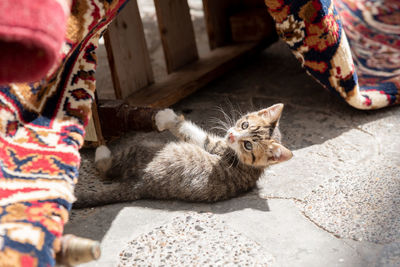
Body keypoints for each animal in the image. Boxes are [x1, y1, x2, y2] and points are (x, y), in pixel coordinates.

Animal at [95, 104, 292, 203]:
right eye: (244, 125)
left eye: (248, 145)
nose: (230, 135)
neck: (253, 167)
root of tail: (140, 185)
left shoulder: (216, 147)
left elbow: (192, 132)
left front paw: (165, 118)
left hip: (142, 149)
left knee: (108, 169)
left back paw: (101, 152)